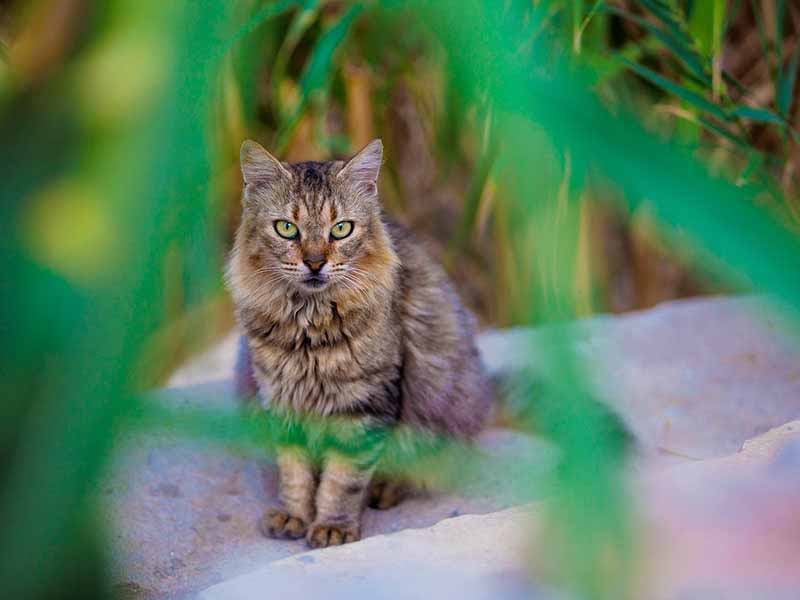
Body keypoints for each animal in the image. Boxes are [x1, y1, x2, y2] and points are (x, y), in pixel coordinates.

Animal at [225, 139, 494, 548]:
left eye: (341, 229)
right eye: (287, 229)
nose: (315, 263)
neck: (310, 327)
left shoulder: (364, 406)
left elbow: (342, 480)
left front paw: (332, 526)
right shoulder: (280, 398)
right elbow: (295, 474)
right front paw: (294, 516)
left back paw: (383, 492)